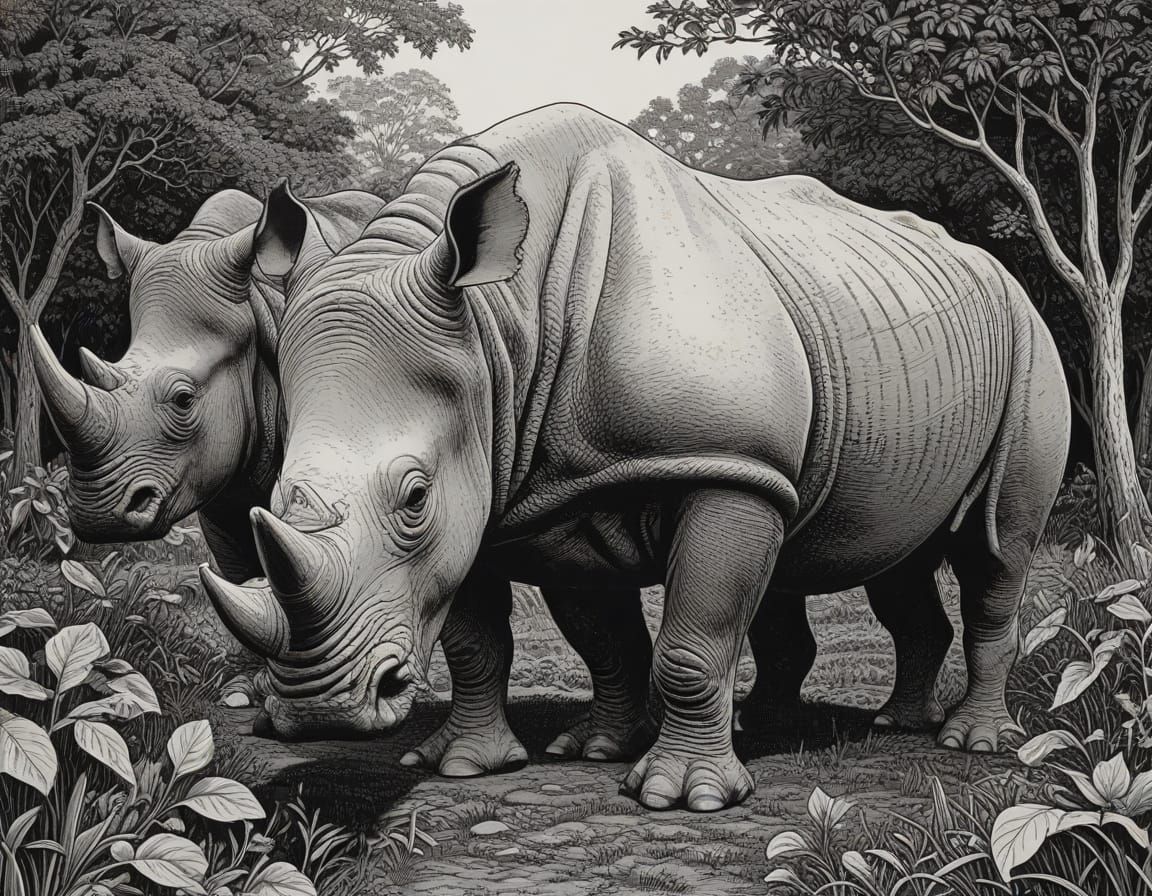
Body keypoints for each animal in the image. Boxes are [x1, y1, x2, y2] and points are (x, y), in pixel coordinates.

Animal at [203, 104, 1069, 811]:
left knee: (995, 551)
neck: (497, 329)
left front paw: (679, 796)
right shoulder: (533, 484)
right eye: (275, 491)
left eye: (413, 497)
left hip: (1028, 341)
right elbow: (538, 636)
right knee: (891, 557)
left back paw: (968, 741)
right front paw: (501, 761)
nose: (317, 710)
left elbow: (693, 636)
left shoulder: (722, 461)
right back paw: (866, 721)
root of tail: (999, 274)